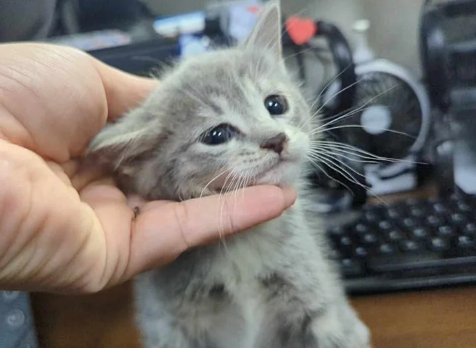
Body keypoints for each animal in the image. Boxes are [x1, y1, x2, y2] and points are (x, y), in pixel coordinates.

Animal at [88, 1, 372, 346]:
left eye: (275, 104)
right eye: (217, 135)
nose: (276, 139)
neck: (241, 245)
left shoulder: (319, 303)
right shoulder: (169, 327)